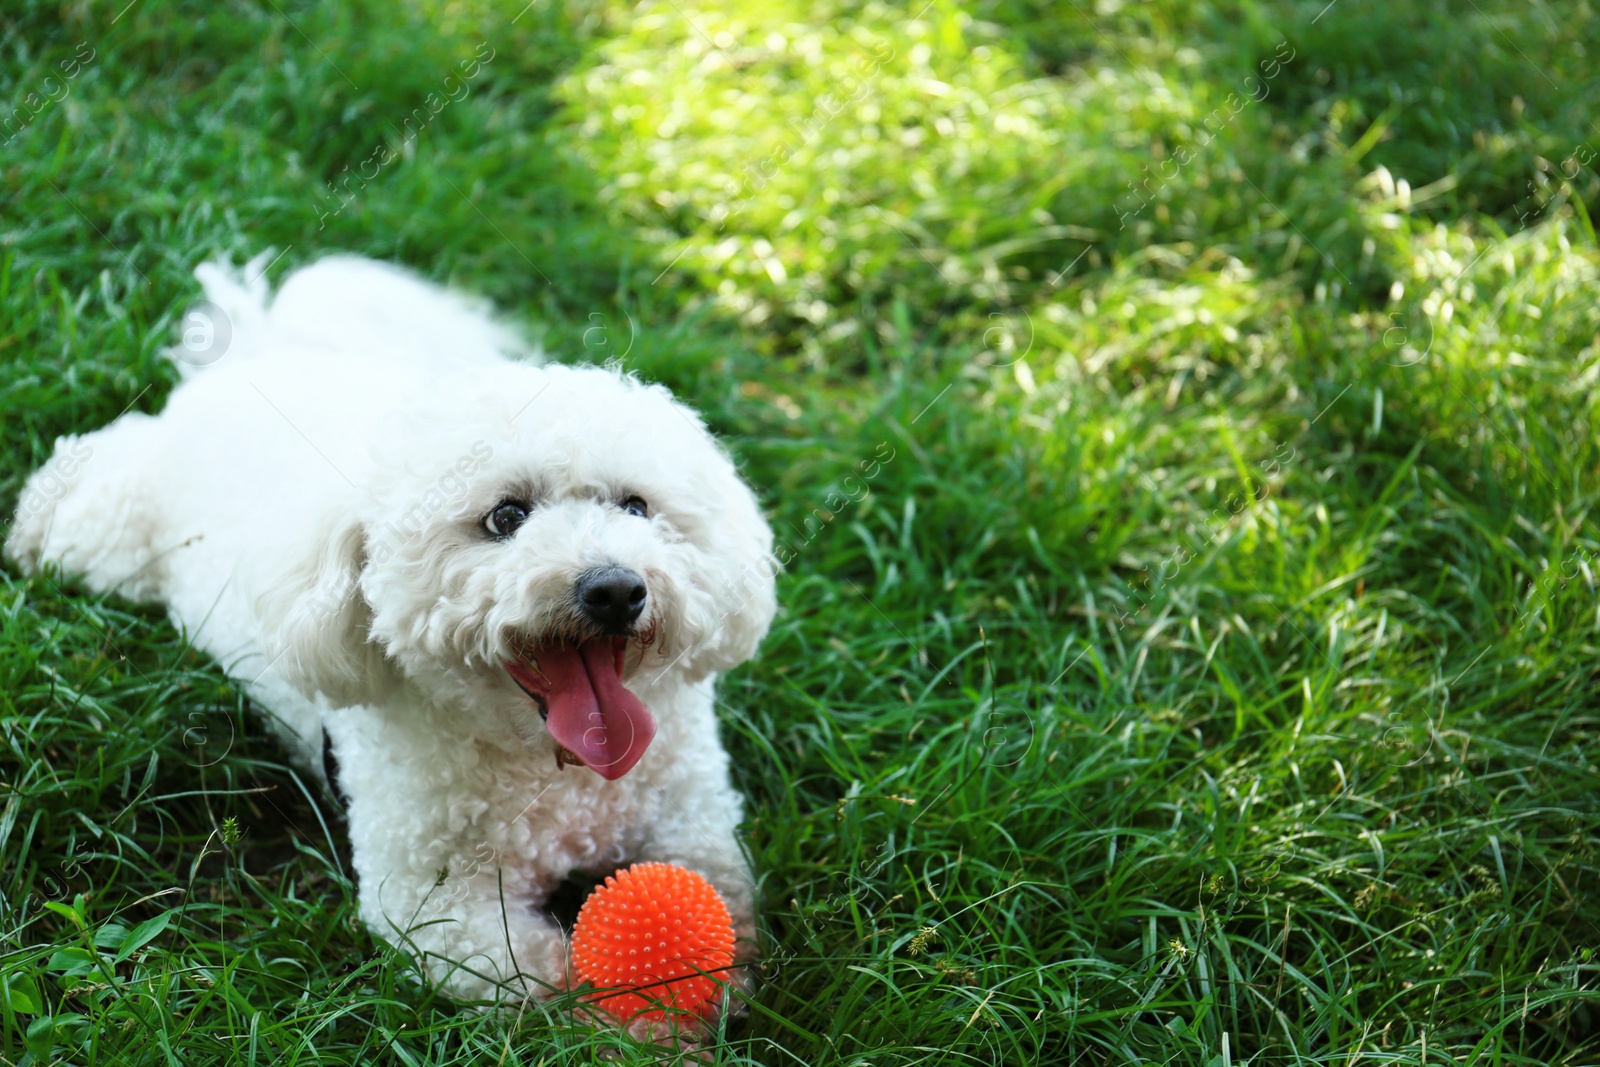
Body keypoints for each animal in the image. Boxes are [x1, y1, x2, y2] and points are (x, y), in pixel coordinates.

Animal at [4, 254, 780, 1017]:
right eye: (505, 517)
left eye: (636, 506)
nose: (615, 588)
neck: (560, 778)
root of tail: (258, 353)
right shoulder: (430, 901)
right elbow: (539, 974)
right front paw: (616, 1019)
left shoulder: (695, 816)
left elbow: (727, 898)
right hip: (106, 537)